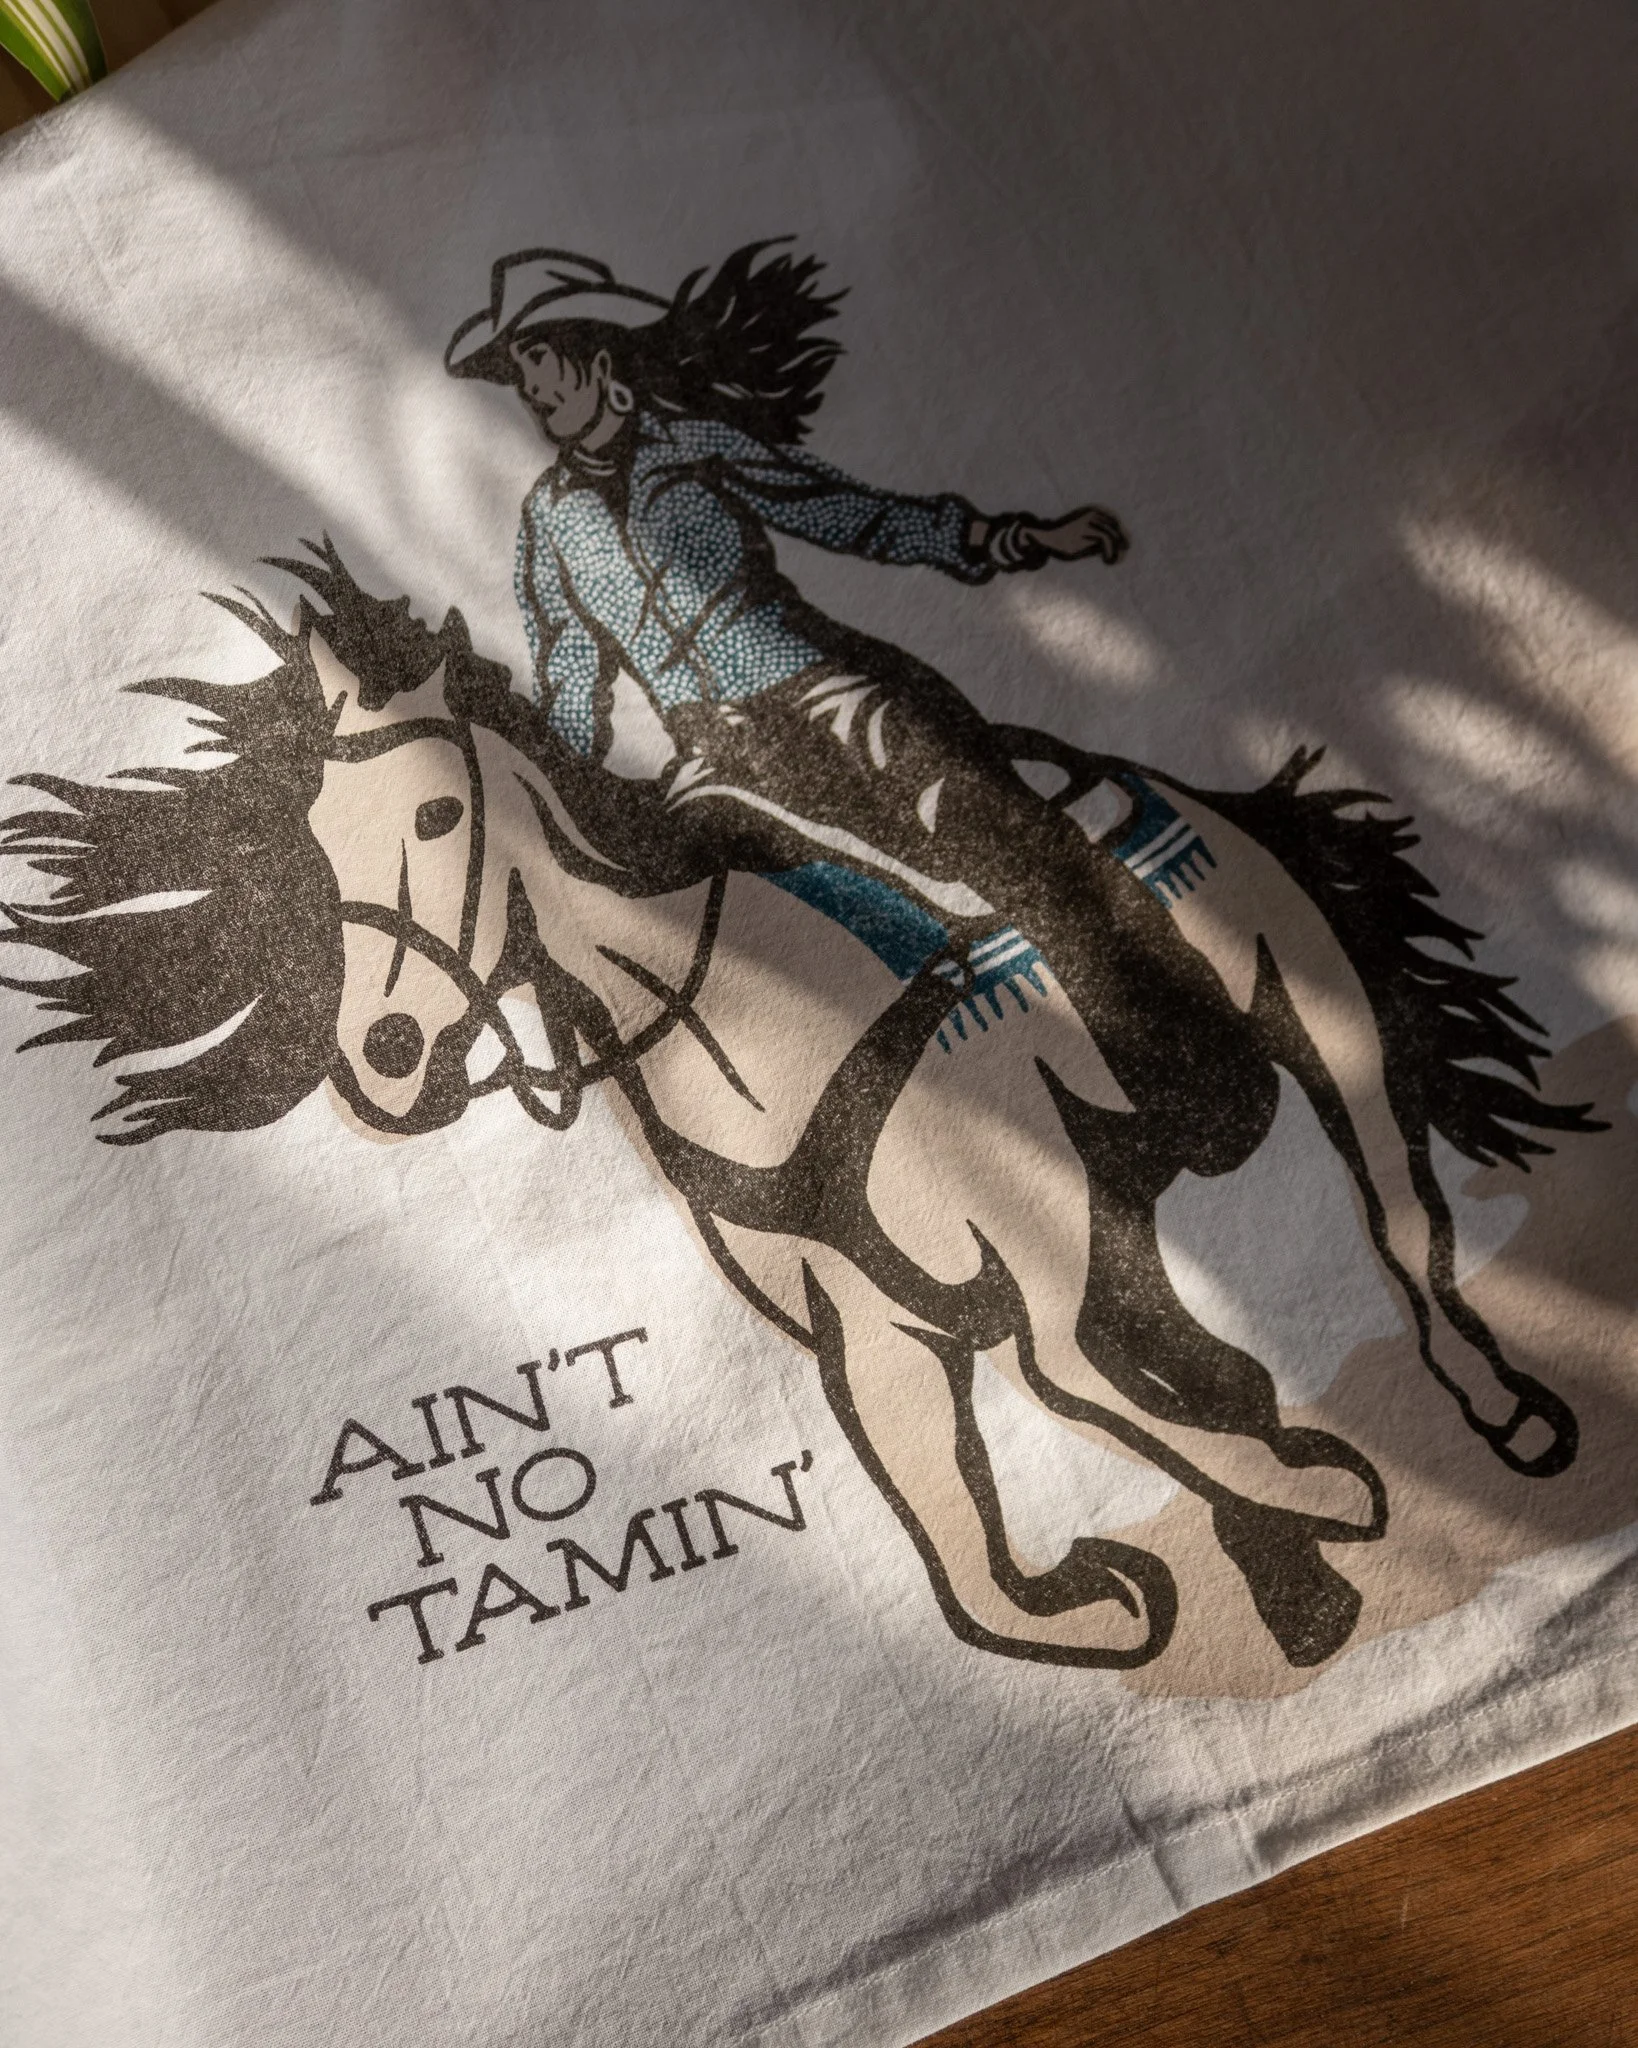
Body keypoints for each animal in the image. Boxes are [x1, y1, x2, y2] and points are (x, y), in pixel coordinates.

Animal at [0, 543, 1600, 1673]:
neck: (755, 1027)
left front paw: (1321, 1496)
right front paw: (1123, 1591)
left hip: (1313, 1023)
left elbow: (1083, 1385)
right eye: (319, 852)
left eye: (442, 817)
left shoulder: (1032, 1240)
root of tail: (1176, 785)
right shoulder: (871, 1323)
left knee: (1396, 1223)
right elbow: (960, 1525)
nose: (384, 1058)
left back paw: (1499, 1414)